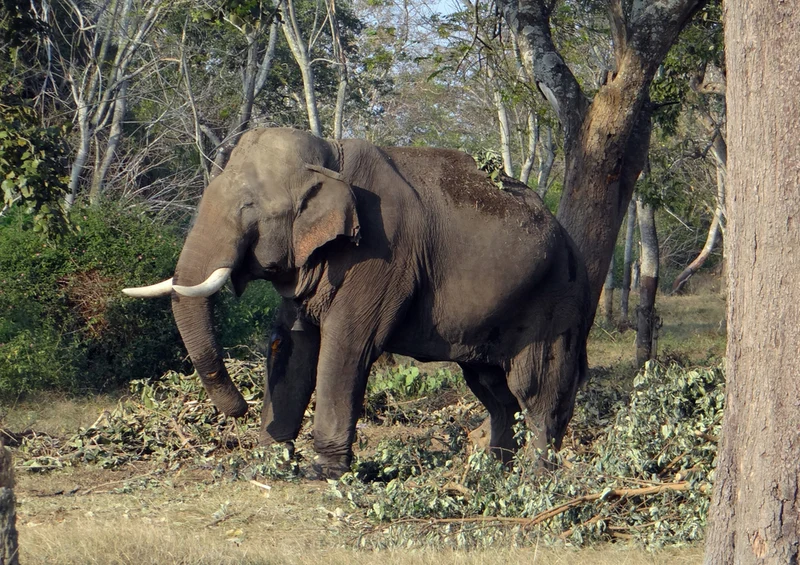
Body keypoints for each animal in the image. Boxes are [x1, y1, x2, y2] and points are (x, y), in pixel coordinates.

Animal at [124, 127, 591, 479]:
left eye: (249, 208)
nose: (239, 409)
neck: (332, 155)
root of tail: (571, 243)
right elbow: (294, 344)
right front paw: (268, 464)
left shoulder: (382, 254)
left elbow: (346, 345)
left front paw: (322, 473)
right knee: (494, 391)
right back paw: (492, 473)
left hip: (556, 303)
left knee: (536, 390)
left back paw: (535, 478)